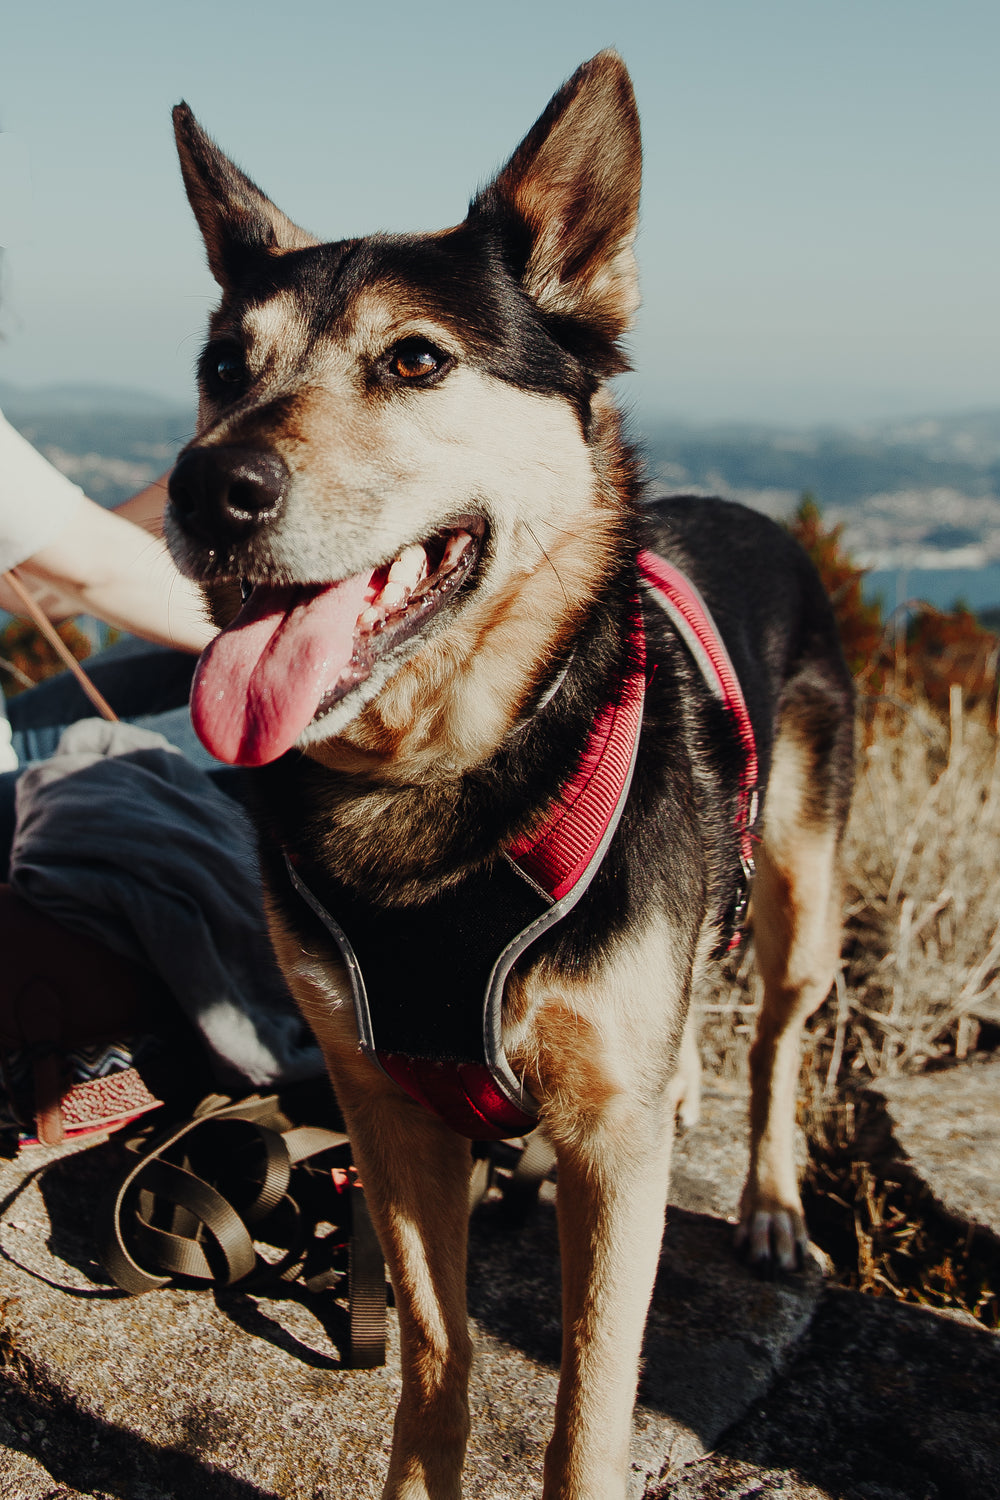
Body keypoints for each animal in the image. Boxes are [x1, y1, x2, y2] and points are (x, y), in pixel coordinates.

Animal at [164, 52, 851, 1500]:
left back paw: (768, 1202)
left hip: (801, 892)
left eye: (415, 360)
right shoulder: (386, 1106)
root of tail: (758, 517)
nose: (206, 490)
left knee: (774, 1038)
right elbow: (434, 1357)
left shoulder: (604, 1158)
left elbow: (587, 1408)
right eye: (220, 367)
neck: (432, 778)